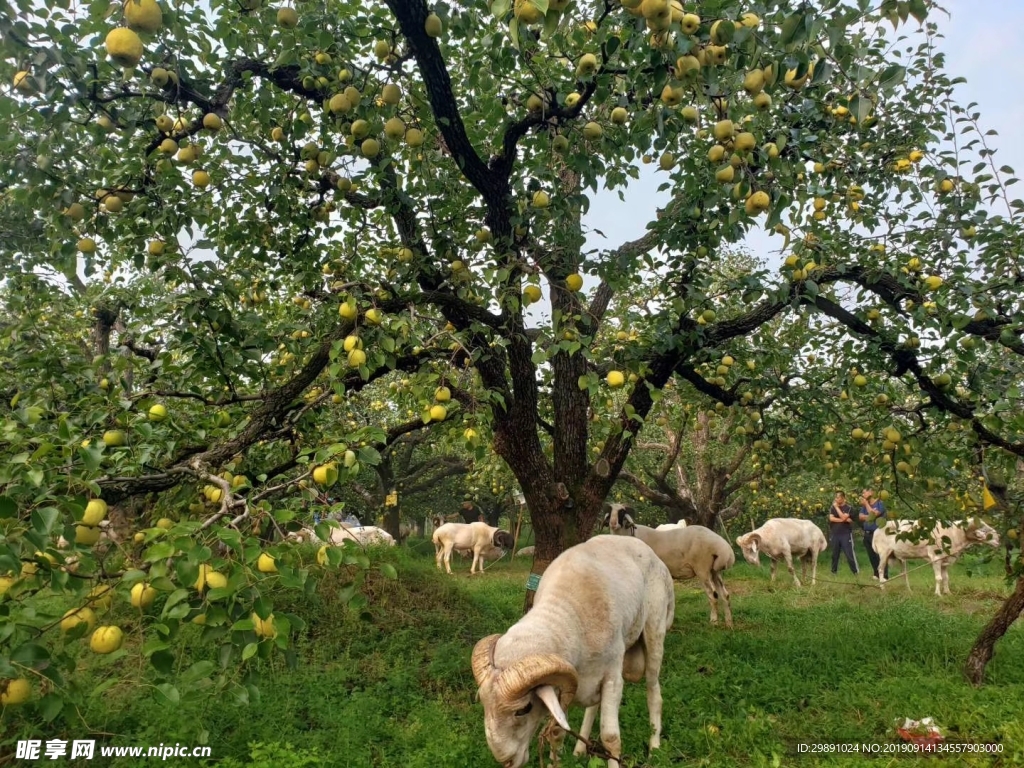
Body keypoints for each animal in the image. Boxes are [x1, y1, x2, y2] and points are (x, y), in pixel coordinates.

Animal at [473, 536, 679, 768]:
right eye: (483, 702)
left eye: (523, 709)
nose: (506, 761)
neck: (567, 615)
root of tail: (648, 549)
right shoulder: (567, 684)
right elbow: (556, 733)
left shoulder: (612, 679)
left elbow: (610, 738)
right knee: (593, 706)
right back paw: (580, 749)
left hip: (655, 630)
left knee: (654, 692)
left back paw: (655, 750)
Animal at [598, 505, 737, 630]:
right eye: (610, 513)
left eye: (621, 513)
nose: (613, 523)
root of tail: (723, 546)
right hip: (715, 571)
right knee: (725, 595)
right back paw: (729, 624)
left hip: (702, 568)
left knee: (713, 595)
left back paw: (714, 623)